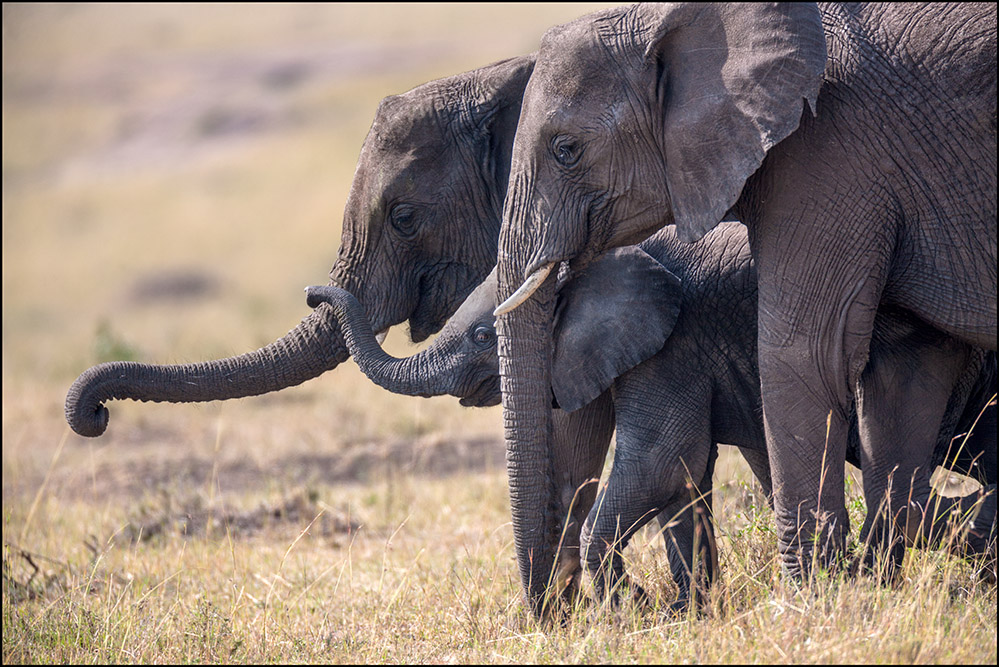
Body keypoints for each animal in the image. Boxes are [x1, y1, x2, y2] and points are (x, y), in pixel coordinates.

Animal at [308, 220, 996, 612]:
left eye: (479, 334)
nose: (316, 293)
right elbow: (684, 484)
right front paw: (688, 613)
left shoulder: (673, 345)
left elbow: (665, 463)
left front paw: (633, 611)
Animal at [488, 2, 996, 612]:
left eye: (567, 150)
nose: (558, 615)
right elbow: (906, 370)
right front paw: (870, 589)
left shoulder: (828, 152)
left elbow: (801, 356)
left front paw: (812, 605)